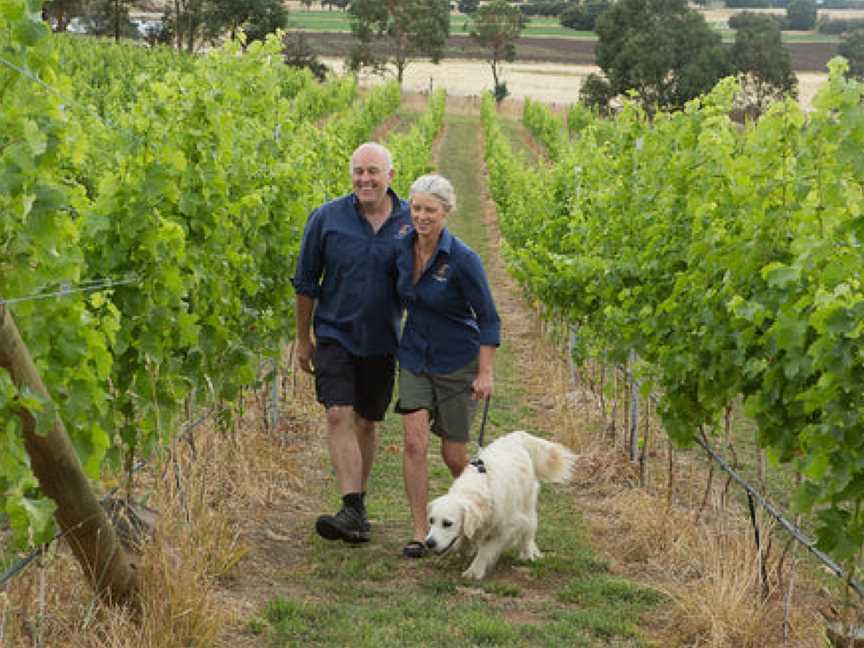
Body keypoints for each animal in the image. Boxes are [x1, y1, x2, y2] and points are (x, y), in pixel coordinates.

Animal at [424, 432, 572, 580]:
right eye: (431, 521)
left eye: (447, 523)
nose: (429, 543)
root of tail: (516, 436)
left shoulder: (505, 528)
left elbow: (485, 551)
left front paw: (474, 571)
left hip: (527, 507)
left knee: (528, 533)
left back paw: (528, 554)